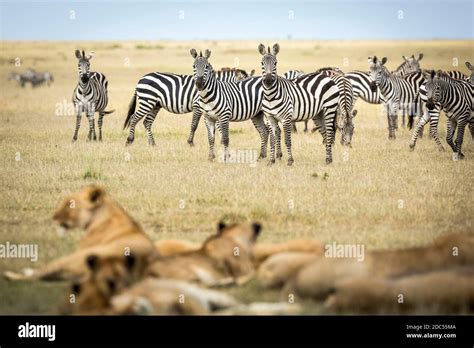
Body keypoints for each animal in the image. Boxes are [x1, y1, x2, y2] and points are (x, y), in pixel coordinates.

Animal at [124, 67, 254, 146]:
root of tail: (141, 79)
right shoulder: (198, 106)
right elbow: (194, 125)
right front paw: (190, 143)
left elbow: (218, 125)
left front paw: (222, 141)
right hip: (146, 101)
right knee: (133, 118)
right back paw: (129, 141)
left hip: (155, 105)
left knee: (147, 122)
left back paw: (152, 144)